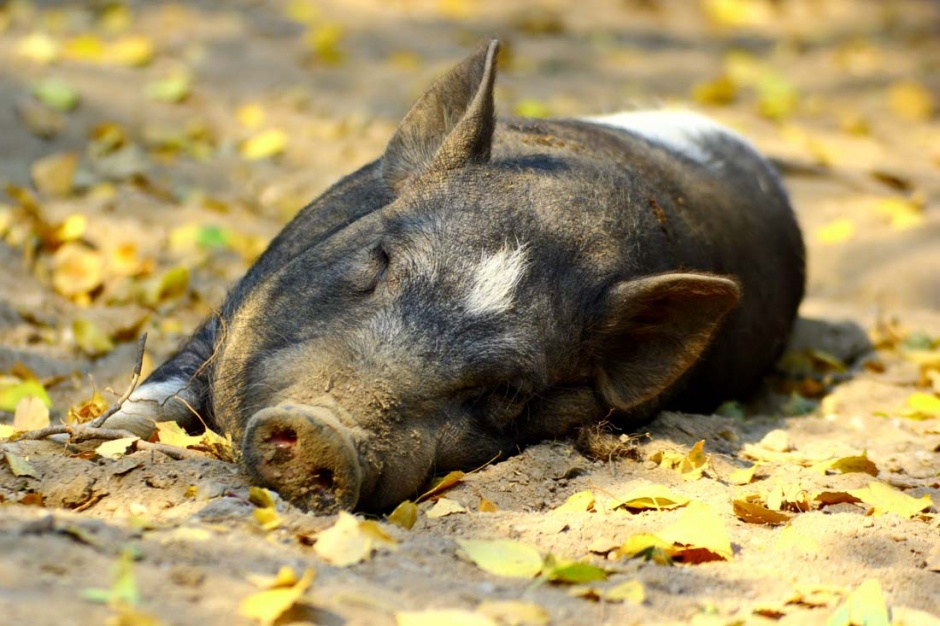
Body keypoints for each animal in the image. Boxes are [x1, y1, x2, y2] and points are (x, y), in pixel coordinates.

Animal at [104, 41, 808, 512]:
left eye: (509, 392)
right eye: (380, 260)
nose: (326, 431)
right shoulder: (226, 309)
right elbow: (160, 394)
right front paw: (101, 434)